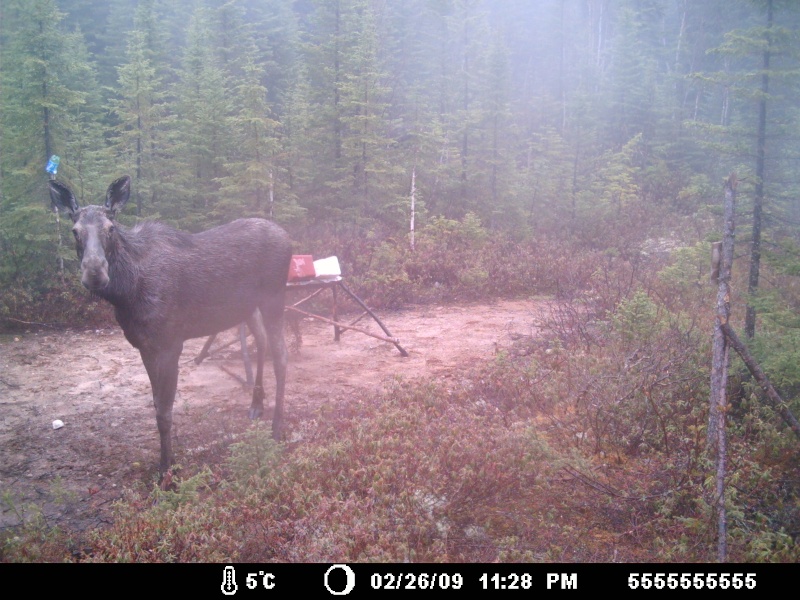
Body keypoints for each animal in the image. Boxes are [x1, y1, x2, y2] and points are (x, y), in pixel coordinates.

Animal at [47, 176, 290, 480]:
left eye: (110, 228)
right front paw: (164, 464)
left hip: (274, 299)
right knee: (262, 342)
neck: (127, 291)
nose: (95, 272)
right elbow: (156, 406)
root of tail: (288, 236)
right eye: (75, 230)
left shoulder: (171, 344)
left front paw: (167, 473)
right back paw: (257, 404)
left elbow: (164, 413)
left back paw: (277, 430)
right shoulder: (144, 346)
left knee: (281, 358)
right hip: (248, 308)